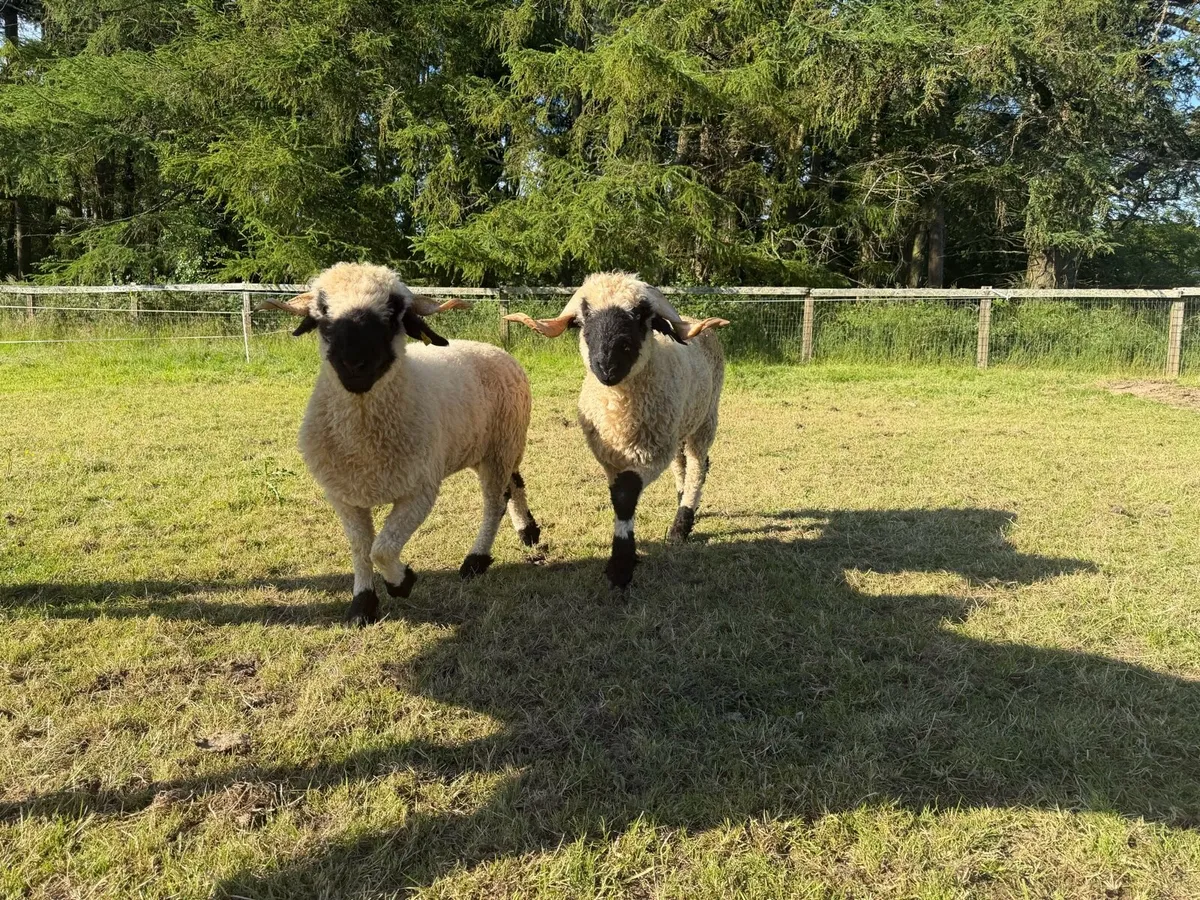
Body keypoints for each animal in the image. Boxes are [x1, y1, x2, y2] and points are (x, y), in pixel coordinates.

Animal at [262, 262, 541, 626]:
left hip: (501, 445)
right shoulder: (343, 495)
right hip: (493, 447)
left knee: (495, 501)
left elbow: (382, 548)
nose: (355, 363)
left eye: (394, 312)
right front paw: (362, 605)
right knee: (515, 481)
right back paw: (528, 531)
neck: (366, 445)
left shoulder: (419, 491)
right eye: (321, 313)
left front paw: (402, 582)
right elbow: (361, 547)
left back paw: (476, 561)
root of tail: (493, 348)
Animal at [504, 272, 728, 589]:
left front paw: (621, 566)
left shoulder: (650, 455)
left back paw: (681, 524)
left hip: (706, 416)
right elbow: (616, 495)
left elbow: (625, 496)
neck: (620, 411)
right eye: (582, 320)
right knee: (682, 462)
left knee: (699, 465)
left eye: (641, 315)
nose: (607, 366)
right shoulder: (610, 456)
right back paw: (682, 498)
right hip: (679, 424)